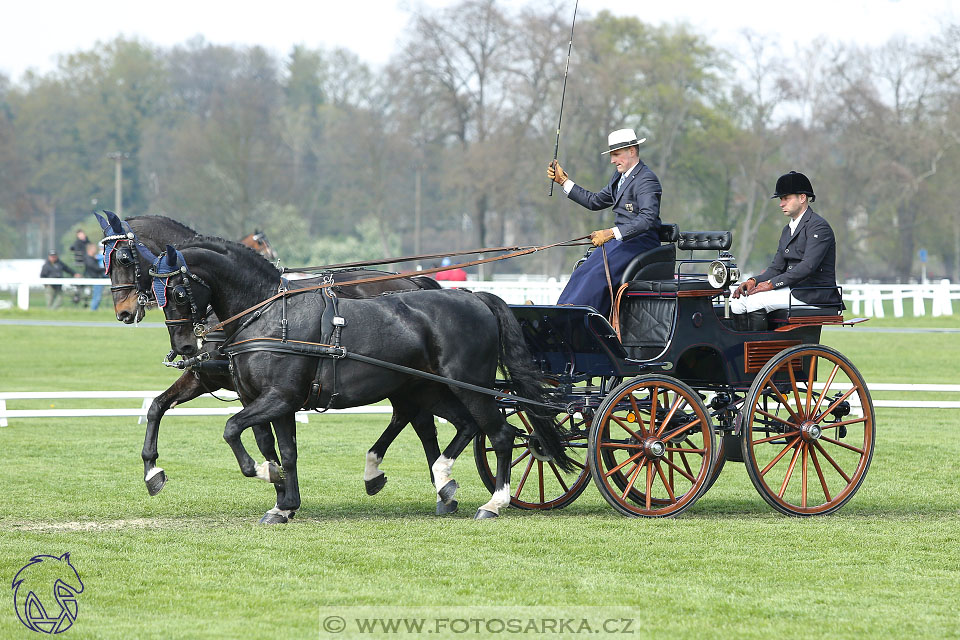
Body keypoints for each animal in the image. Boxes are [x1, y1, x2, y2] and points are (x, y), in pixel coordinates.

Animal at [95, 212, 440, 502]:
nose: (123, 312)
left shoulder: (255, 388)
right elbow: (157, 407)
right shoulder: (208, 378)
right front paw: (152, 471)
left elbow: (259, 437)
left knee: (414, 418)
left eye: (123, 257)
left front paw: (277, 484)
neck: (252, 307)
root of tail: (411, 279)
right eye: (105, 262)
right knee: (410, 417)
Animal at [149, 238, 568, 524]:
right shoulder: (273, 402)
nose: (184, 347)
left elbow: (232, 429)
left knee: (500, 434)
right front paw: (284, 504)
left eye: (178, 291)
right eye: (155, 293)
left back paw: (493, 502)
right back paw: (442, 481)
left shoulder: (279, 397)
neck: (268, 313)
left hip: (467, 386)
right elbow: (285, 450)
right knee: (461, 425)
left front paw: (266, 475)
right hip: (427, 389)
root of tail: (474, 296)